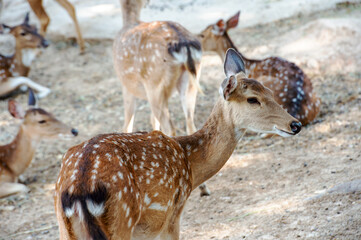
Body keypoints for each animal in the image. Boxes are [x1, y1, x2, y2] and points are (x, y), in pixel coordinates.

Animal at [54, 49, 300, 240]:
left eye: (269, 91)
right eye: (252, 99)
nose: (295, 124)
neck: (189, 164)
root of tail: (79, 190)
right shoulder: (172, 214)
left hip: (65, 227)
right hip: (122, 220)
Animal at [113, 0, 202, 137]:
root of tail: (184, 44)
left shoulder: (126, 84)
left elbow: (128, 122)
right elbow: (153, 121)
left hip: (154, 84)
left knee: (170, 128)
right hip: (191, 81)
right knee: (190, 123)